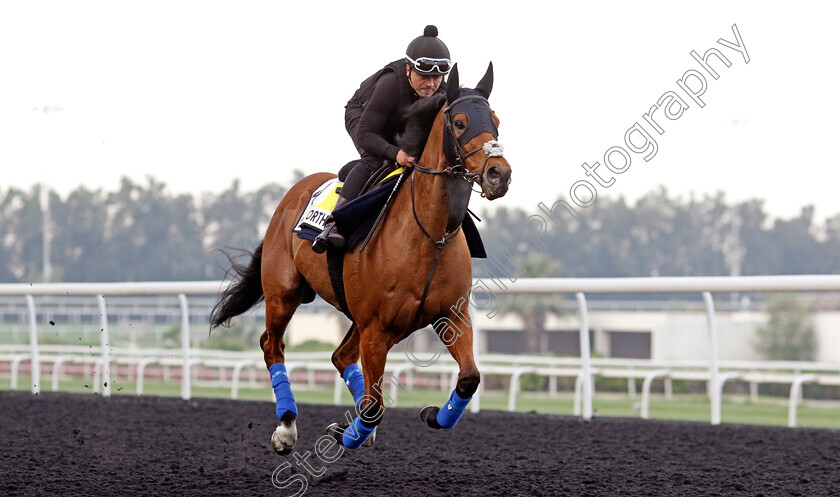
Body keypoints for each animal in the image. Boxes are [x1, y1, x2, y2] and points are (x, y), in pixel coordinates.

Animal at [210, 64, 512, 456]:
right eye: (459, 123)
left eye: (496, 121)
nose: (499, 174)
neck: (430, 236)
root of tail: (290, 196)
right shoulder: (377, 328)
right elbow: (373, 407)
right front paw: (346, 432)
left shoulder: (450, 316)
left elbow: (469, 379)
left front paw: (432, 414)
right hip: (284, 293)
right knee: (272, 345)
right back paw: (287, 427)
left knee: (341, 356)